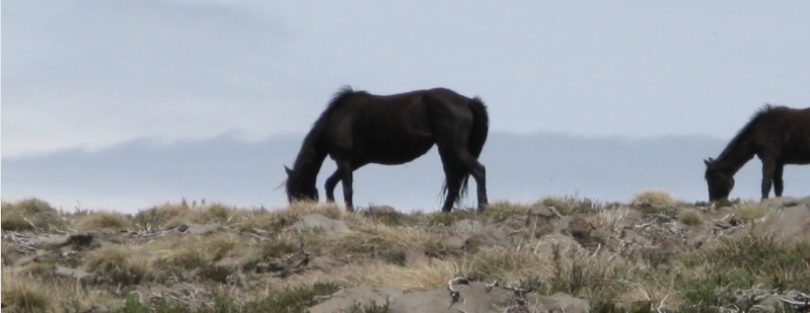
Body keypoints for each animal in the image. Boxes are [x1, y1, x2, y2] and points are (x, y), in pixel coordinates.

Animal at [284, 86, 486, 211]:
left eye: (295, 192)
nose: (295, 211)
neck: (337, 120)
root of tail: (466, 101)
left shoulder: (345, 160)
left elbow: (347, 189)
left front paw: (349, 211)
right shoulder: (356, 161)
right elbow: (330, 183)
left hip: (454, 148)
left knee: (478, 171)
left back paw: (482, 207)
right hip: (446, 150)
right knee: (453, 183)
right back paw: (444, 212)